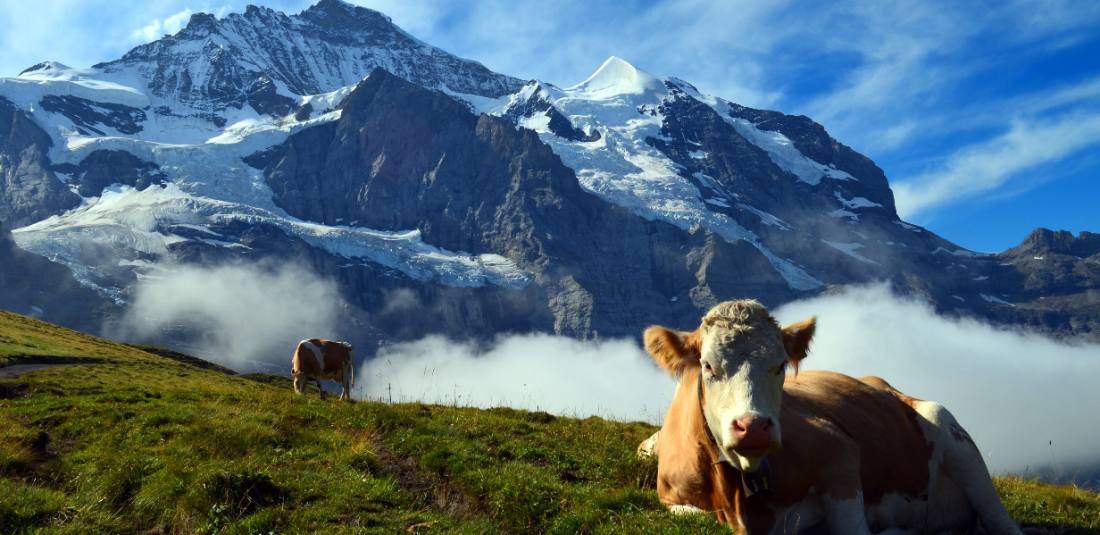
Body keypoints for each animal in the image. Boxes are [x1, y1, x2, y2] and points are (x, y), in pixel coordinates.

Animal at [642, 301, 1020, 535]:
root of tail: (880, 383)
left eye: (780, 365)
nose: (754, 427)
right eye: (708, 366)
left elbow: (853, 528)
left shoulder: (839, 453)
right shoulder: (673, 500)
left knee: (1000, 519)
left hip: (952, 432)